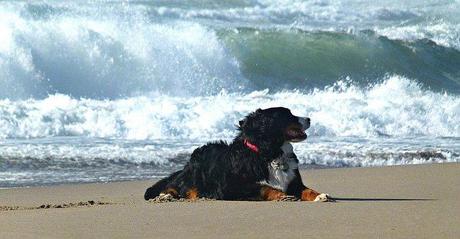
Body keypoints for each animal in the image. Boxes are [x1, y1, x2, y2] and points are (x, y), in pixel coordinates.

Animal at [146, 107, 328, 201]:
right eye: (288, 115)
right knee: (178, 187)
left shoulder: (294, 183)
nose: (309, 119)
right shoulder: (232, 186)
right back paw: (166, 196)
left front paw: (320, 195)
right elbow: (263, 187)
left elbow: (308, 190)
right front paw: (282, 195)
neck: (269, 153)